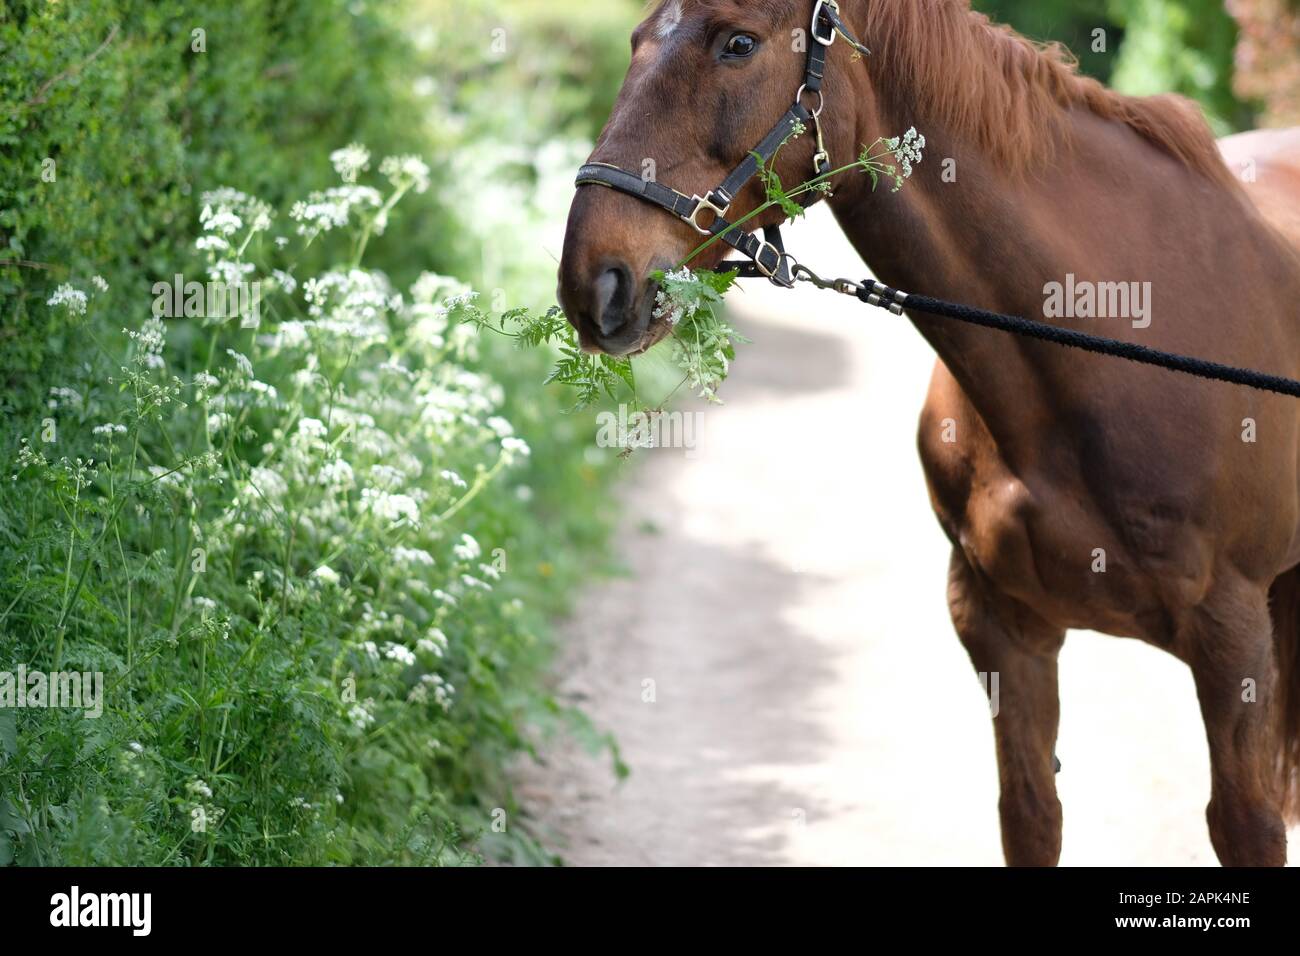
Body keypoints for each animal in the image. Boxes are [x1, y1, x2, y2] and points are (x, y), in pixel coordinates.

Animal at [561, 0, 1300, 868]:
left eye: (737, 43)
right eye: (637, 39)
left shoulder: (1231, 641)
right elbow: (1030, 814)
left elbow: (1247, 824)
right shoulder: (1002, 628)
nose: (593, 281)